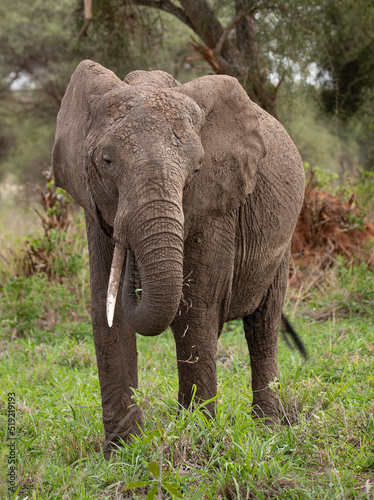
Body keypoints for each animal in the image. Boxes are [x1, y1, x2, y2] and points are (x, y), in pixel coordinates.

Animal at [51, 59, 304, 454]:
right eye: (106, 161)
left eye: (197, 169)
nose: (133, 269)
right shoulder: (92, 204)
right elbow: (106, 311)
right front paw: (124, 450)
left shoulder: (216, 203)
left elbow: (195, 307)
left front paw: (199, 437)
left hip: (283, 240)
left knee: (263, 325)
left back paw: (268, 430)